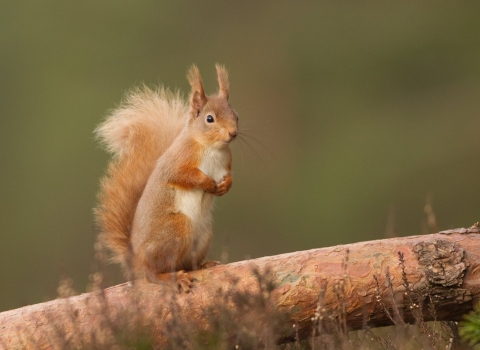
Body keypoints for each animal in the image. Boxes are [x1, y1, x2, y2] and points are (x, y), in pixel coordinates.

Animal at [94, 64, 237, 292]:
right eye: (209, 119)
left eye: (236, 115)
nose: (233, 133)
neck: (212, 147)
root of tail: (137, 261)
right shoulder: (177, 161)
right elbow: (181, 176)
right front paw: (206, 182)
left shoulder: (226, 163)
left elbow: (229, 177)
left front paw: (225, 186)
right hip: (177, 229)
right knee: (153, 273)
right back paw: (172, 278)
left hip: (203, 235)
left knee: (187, 264)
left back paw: (203, 265)